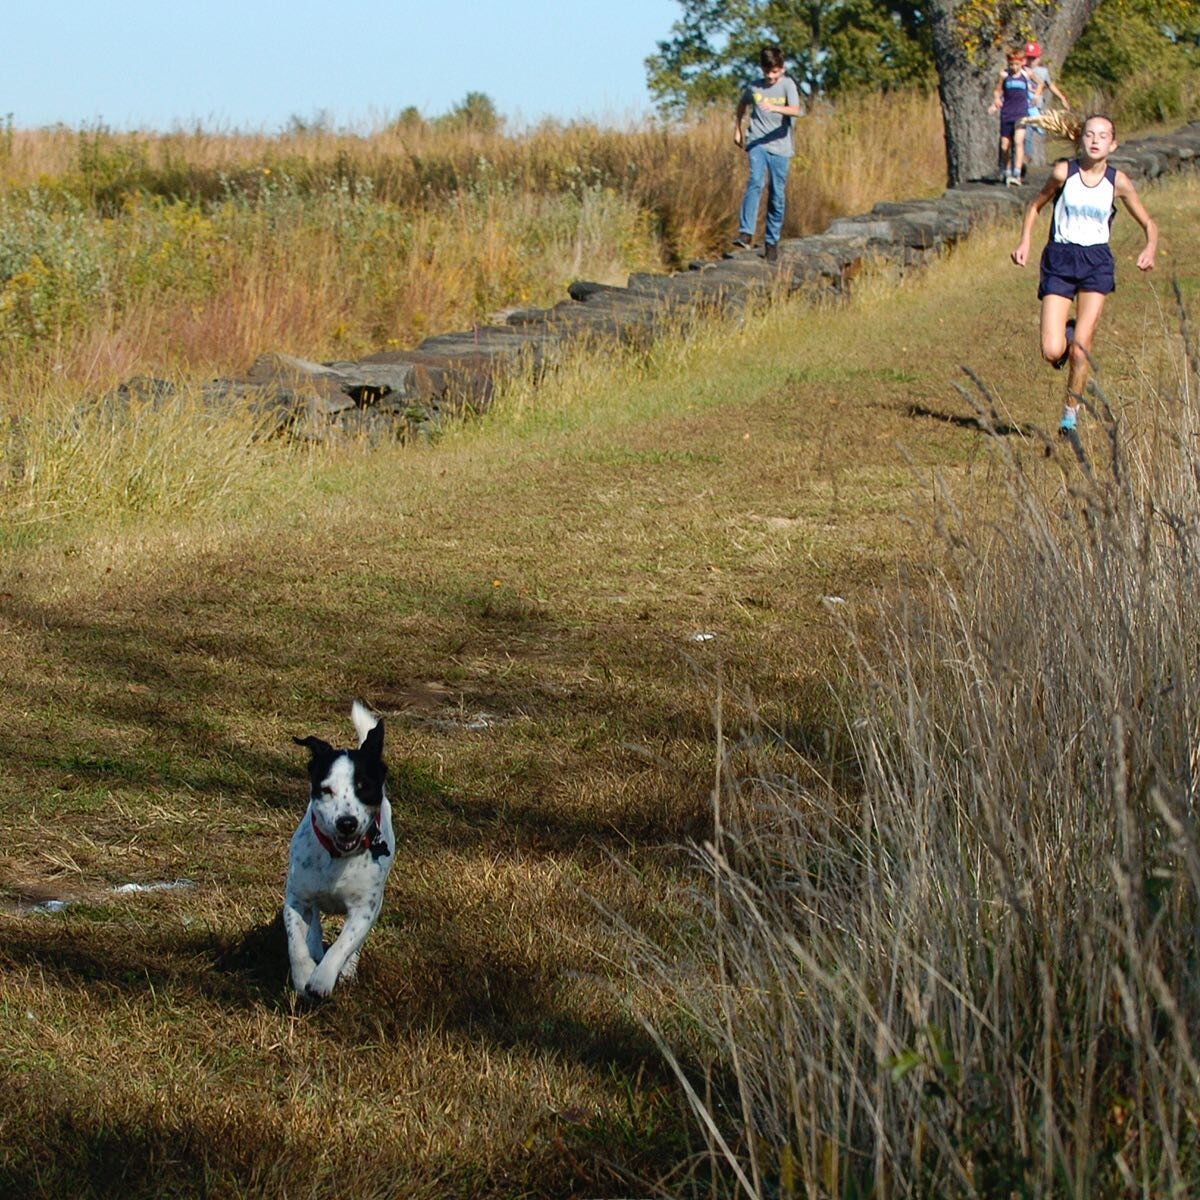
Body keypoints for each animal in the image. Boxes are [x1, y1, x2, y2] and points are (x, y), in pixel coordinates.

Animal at [282, 700, 391, 998]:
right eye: (326, 790)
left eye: (365, 787)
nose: (346, 822)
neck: (337, 856)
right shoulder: (297, 899)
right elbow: (296, 943)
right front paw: (303, 975)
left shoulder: (364, 909)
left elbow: (343, 944)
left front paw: (322, 978)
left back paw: (348, 968)